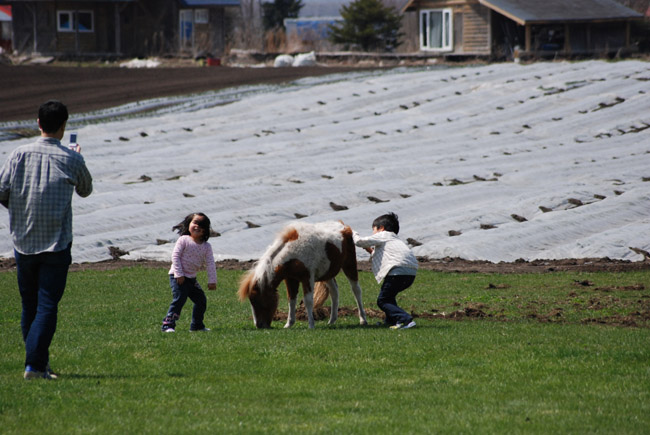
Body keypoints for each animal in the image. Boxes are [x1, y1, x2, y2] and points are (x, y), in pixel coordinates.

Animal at [238, 223, 368, 328]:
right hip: (327, 273)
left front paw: (311, 324)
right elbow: (291, 299)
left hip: (349, 265)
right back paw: (332, 320)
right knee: (334, 292)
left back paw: (363, 320)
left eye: (257, 300)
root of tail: (345, 227)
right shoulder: (290, 279)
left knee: (356, 290)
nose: (259, 325)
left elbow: (308, 300)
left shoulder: (307, 278)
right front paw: (289, 324)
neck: (293, 255)